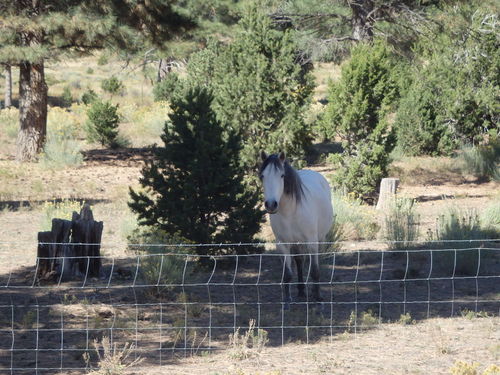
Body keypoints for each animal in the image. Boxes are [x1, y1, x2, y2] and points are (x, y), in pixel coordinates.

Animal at [260, 151, 334, 304]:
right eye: (262, 176)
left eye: (282, 176)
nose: (271, 204)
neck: (290, 212)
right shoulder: (283, 244)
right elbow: (287, 274)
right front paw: (287, 299)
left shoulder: (312, 241)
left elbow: (315, 271)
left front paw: (318, 296)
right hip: (296, 242)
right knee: (300, 261)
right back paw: (301, 290)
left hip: (319, 239)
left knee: (314, 262)